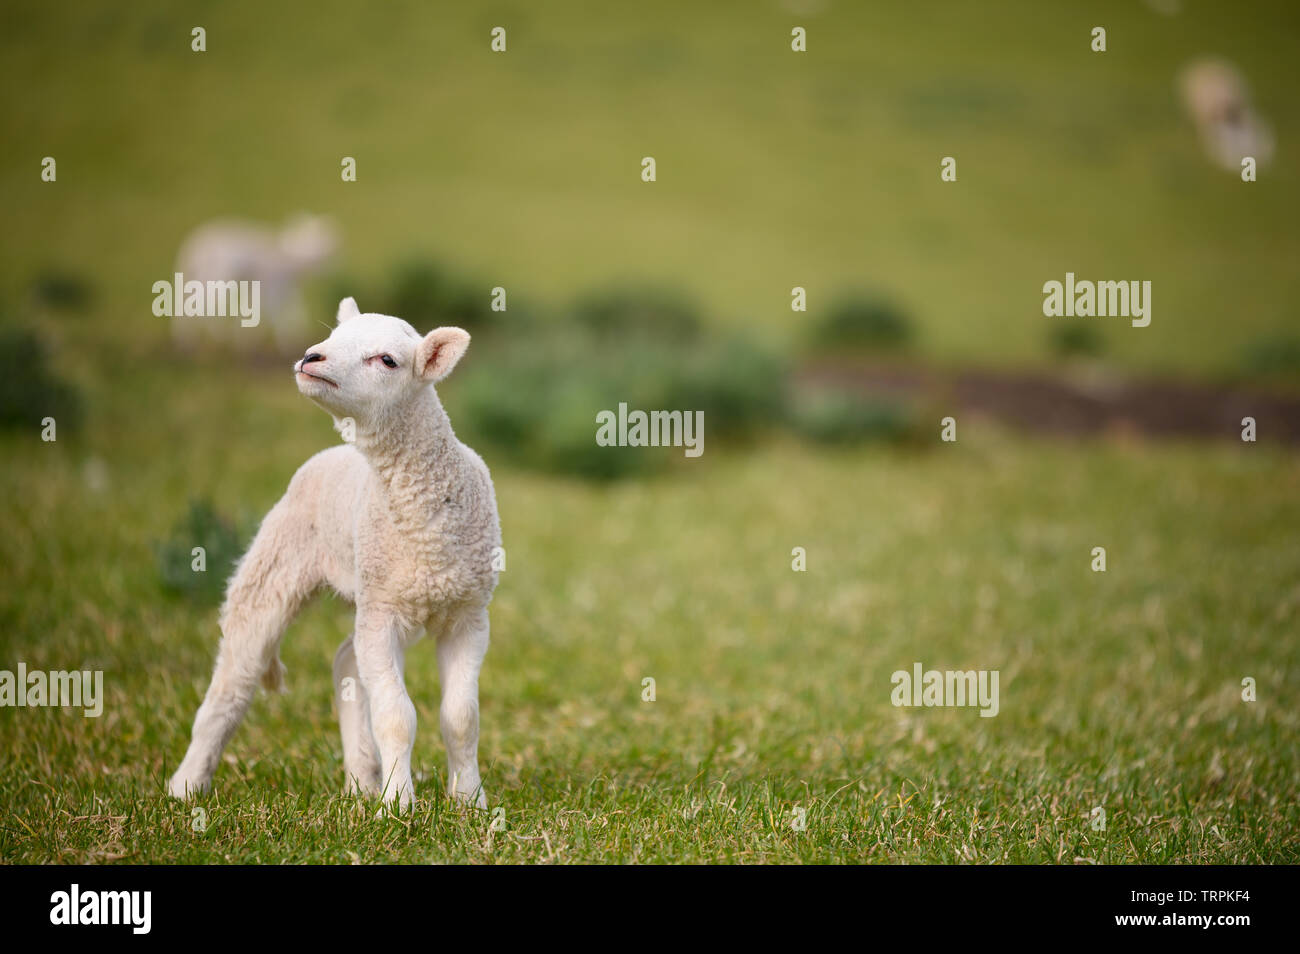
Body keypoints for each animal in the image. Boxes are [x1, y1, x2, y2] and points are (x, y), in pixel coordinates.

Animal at [166, 298, 496, 816]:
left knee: (345, 662)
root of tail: (328, 455)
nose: (310, 358)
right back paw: (186, 786)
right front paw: (398, 806)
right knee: (235, 678)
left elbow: (461, 717)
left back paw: (361, 782)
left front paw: (469, 802)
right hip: (276, 567)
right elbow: (397, 715)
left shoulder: (468, 613)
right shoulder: (383, 612)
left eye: (387, 360)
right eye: (334, 338)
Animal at [172, 214, 340, 356]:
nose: (317, 256)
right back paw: (213, 337)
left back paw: (186, 339)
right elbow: (278, 311)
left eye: (324, 245)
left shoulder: (269, 285)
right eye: (305, 239)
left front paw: (247, 338)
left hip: (201, 276)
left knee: (189, 300)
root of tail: (194, 247)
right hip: (219, 275)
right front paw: (287, 341)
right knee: (206, 302)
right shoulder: (275, 283)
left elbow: (258, 306)